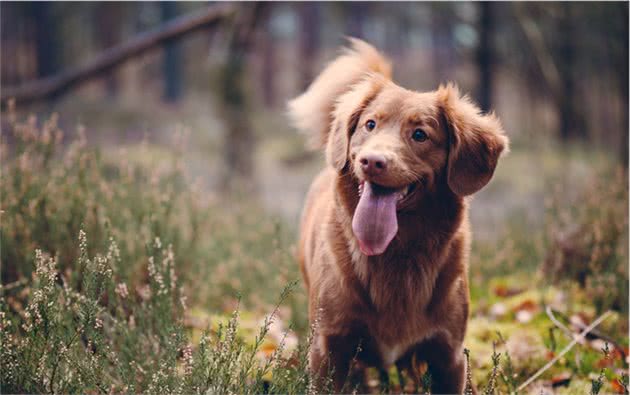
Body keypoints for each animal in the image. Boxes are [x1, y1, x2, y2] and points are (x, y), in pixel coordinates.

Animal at [288, 38, 512, 394]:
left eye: (420, 134)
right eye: (370, 124)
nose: (371, 161)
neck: (396, 252)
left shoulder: (448, 357)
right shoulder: (328, 348)